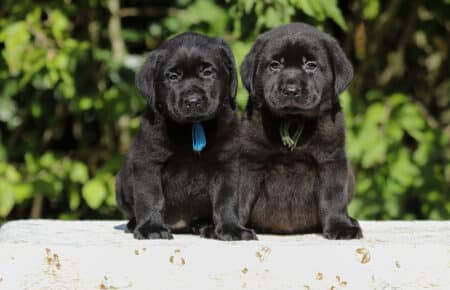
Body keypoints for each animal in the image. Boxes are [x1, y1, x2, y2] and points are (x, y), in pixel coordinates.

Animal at [116, 32, 256, 240]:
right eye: (173, 77)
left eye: (208, 72)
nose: (193, 101)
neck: (192, 128)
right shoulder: (148, 162)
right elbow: (151, 196)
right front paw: (151, 227)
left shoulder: (227, 164)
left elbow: (226, 199)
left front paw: (232, 228)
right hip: (122, 180)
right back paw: (135, 224)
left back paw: (207, 226)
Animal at [239, 22, 362, 239]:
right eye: (275, 65)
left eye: (311, 65)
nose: (291, 90)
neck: (293, 120)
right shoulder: (249, 160)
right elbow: (239, 198)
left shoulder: (331, 160)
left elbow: (334, 197)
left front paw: (340, 226)